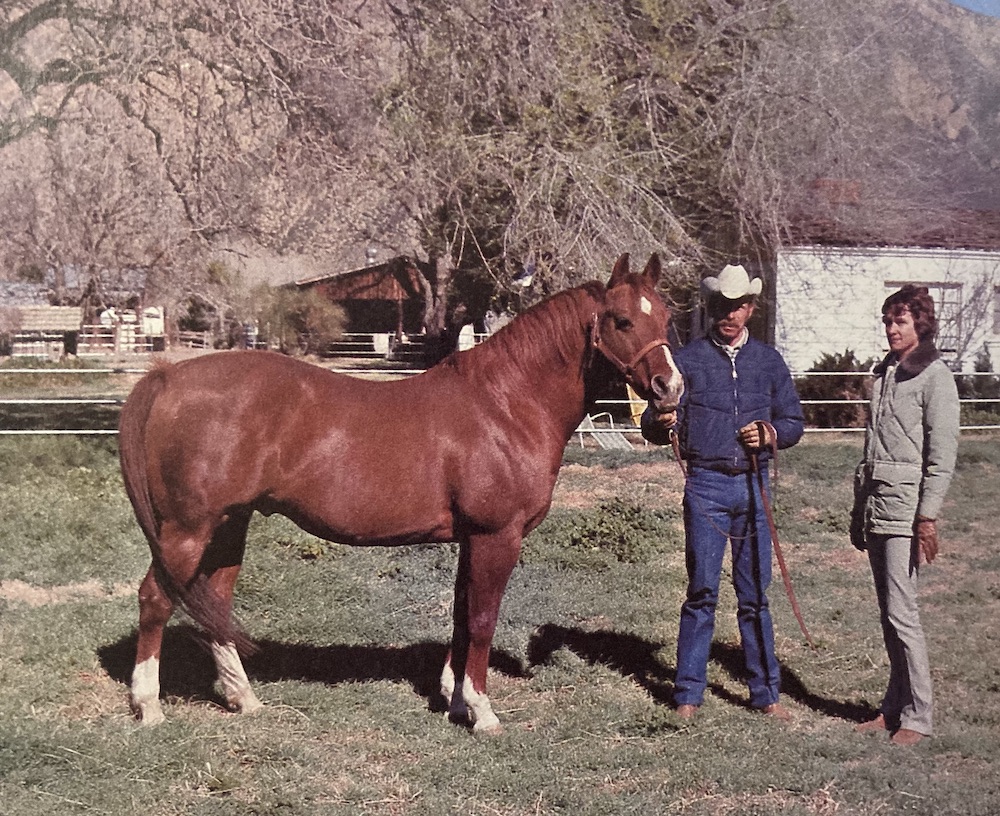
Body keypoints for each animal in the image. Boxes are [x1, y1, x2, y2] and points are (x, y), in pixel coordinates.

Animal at [118, 252, 684, 732]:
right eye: (622, 320)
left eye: (667, 318)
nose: (670, 389)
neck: (505, 404)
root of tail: (167, 377)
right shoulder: (497, 536)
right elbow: (483, 619)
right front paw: (482, 712)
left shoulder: (471, 539)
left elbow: (462, 613)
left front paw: (454, 698)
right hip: (188, 529)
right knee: (155, 599)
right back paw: (148, 706)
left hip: (228, 524)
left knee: (212, 600)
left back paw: (243, 697)